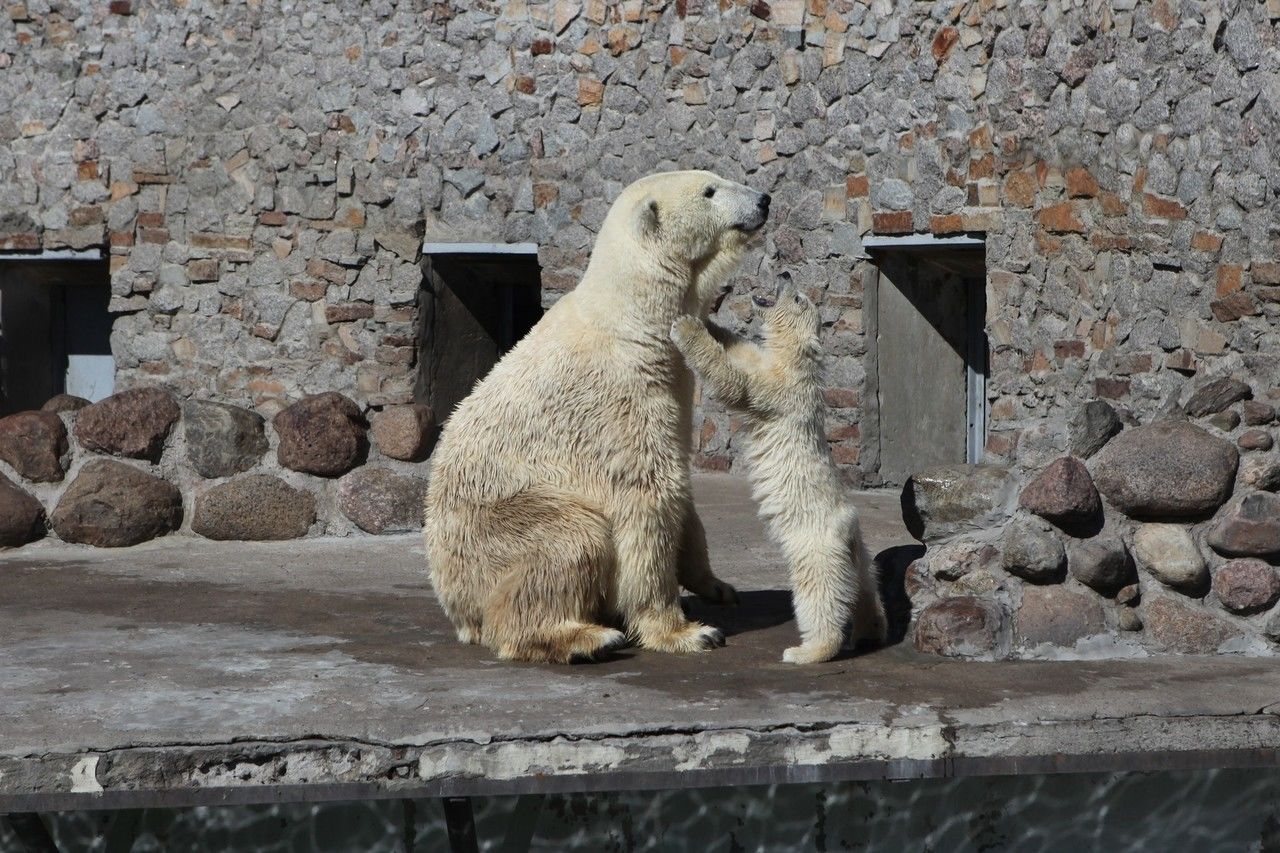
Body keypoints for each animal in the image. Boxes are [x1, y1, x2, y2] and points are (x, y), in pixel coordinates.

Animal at [427, 169, 768, 660]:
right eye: (710, 190)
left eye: (717, 178)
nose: (763, 199)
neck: (632, 324)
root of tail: (454, 604)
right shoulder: (622, 401)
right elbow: (646, 497)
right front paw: (687, 631)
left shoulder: (674, 384)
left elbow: (682, 491)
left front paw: (716, 585)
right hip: (496, 524)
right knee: (567, 539)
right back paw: (586, 637)